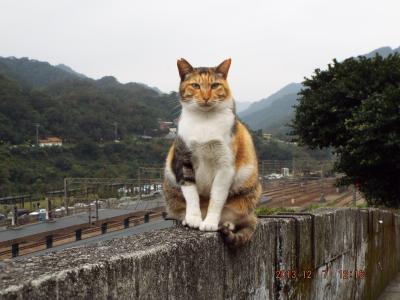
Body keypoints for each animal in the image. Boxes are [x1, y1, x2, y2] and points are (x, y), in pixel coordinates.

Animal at [163, 57, 260, 247]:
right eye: (195, 85)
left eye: (215, 85)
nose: (206, 96)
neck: (204, 120)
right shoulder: (182, 159)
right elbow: (191, 193)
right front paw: (193, 218)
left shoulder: (225, 165)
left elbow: (217, 197)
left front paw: (209, 223)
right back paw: (186, 219)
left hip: (249, 193)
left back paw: (226, 224)